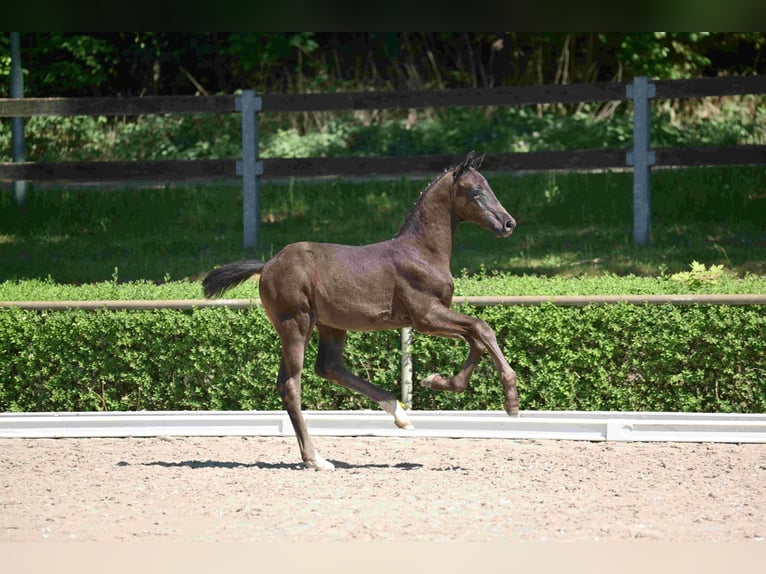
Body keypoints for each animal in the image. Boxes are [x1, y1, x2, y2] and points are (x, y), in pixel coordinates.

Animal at [203, 152, 519, 470]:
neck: (422, 252)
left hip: (330, 325)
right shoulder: (426, 315)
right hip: (295, 323)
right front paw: (511, 400)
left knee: (328, 367)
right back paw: (315, 459)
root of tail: (267, 265)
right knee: (291, 384)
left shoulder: (434, 317)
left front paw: (439, 381)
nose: (508, 223)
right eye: (476, 191)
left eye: (488, 186)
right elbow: (481, 328)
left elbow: (476, 338)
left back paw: (399, 415)